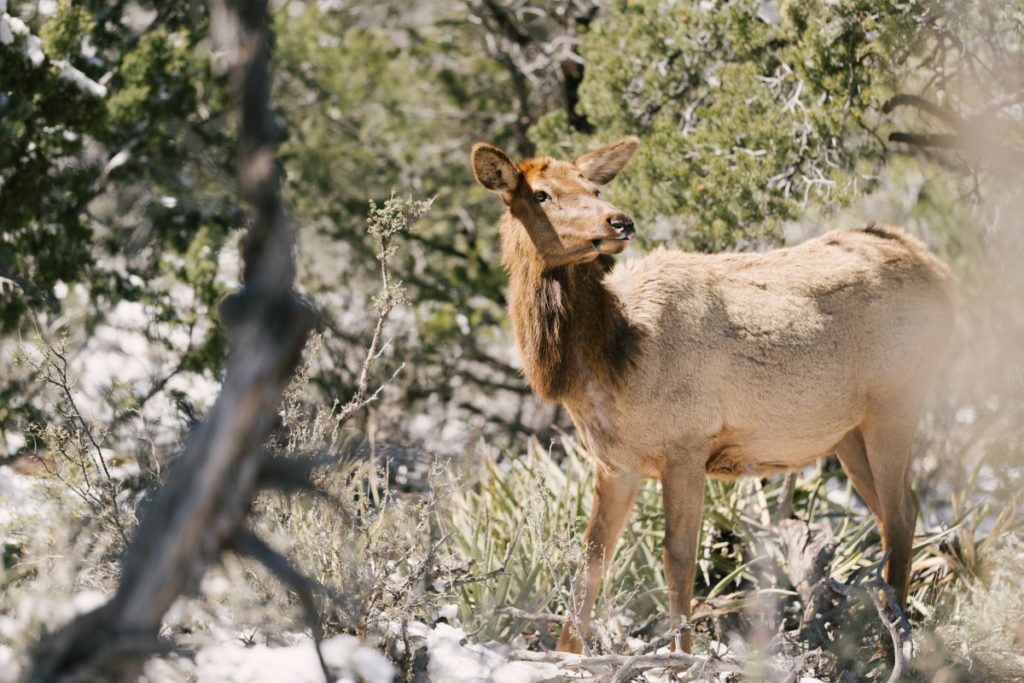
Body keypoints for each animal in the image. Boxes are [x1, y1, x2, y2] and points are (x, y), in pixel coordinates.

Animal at [468, 136, 950, 655]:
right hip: (848, 433)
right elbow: (591, 559)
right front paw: (566, 654)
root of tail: (938, 269)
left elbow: (678, 559)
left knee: (901, 513)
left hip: (898, 399)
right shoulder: (615, 463)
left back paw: (893, 642)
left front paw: (681, 655)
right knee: (893, 513)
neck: (610, 360)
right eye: (539, 194)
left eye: (593, 186)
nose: (619, 220)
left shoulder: (686, 443)